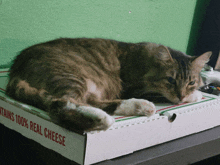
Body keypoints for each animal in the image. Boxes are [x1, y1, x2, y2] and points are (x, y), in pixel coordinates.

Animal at [5, 38, 211, 132]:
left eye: (191, 81)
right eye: (170, 80)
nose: (181, 96)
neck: (146, 61)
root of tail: (15, 69)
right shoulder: (132, 87)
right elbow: (159, 94)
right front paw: (195, 95)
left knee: (93, 101)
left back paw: (139, 106)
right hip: (73, 76)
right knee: (61, 104)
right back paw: (101, 119)